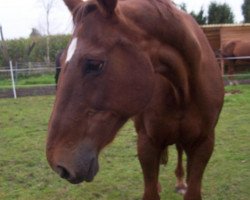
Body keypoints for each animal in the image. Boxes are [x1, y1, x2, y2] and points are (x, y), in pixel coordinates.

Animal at [46, 0, 224, 199]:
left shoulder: (204, 144)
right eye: (61, 61)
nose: (58, 164)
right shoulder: (147, 143)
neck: (182, 91)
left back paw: (180, 181)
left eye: (94, 64)